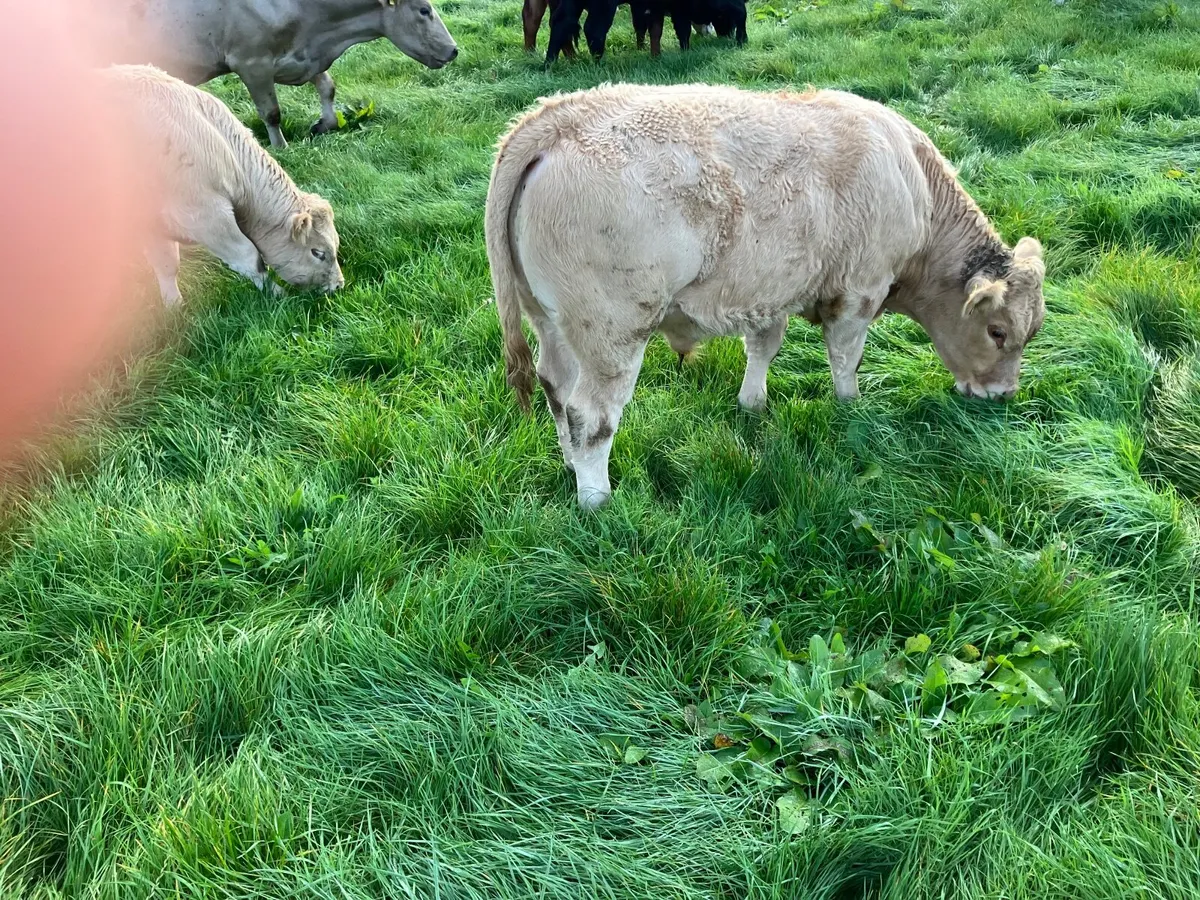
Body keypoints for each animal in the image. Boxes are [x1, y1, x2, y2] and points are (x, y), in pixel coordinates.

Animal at [103, 65, 345, 306]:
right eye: (318, 252)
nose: (338, 285)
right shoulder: (205, 215)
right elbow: (249, 256)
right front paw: (278, 295)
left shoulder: (153, 221)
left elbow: (166, 264)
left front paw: (174, 306)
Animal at [108, 0, 458, 148]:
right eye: (424, 10)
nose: (454, 50)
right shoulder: (252, 61)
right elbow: (272, 112)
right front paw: (281, 148)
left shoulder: (305, 56)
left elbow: (328, 87)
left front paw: (323, 124)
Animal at [485, 84, 1047, 509]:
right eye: (998, 332)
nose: (1003, 396)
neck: (913, 184)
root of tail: (559, 117)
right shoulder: (859, 291)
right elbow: (846, 358)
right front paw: (850, 409)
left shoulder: (768, 291)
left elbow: (764, 348)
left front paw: (752, 404)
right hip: (611, 333)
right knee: (591, 414)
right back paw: (596, 498)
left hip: (553, 324)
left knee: (557, 389)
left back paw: (569, 464)